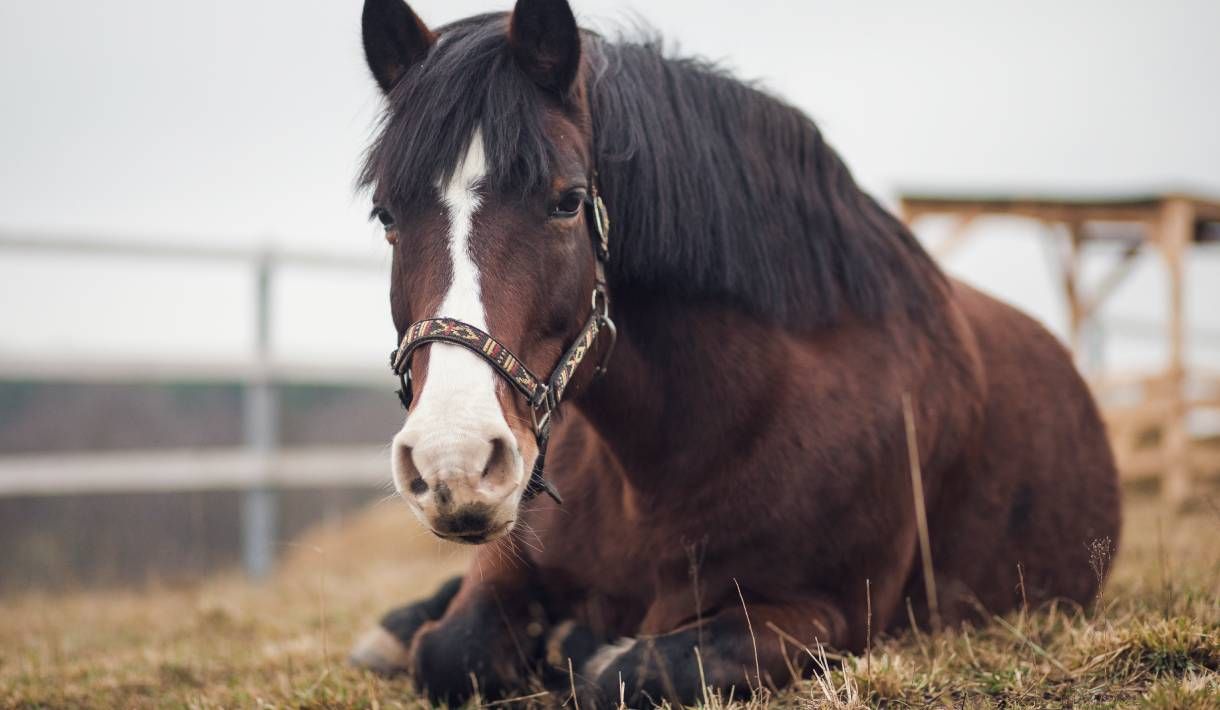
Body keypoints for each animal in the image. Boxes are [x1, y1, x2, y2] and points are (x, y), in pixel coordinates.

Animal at [347, 0, 1122, 705]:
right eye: (387, 215)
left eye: (566, 201)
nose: (453, 464)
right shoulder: (509, 561)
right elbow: (452, 648)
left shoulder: (829, 616)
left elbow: (625, 672)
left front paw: (578, 643)